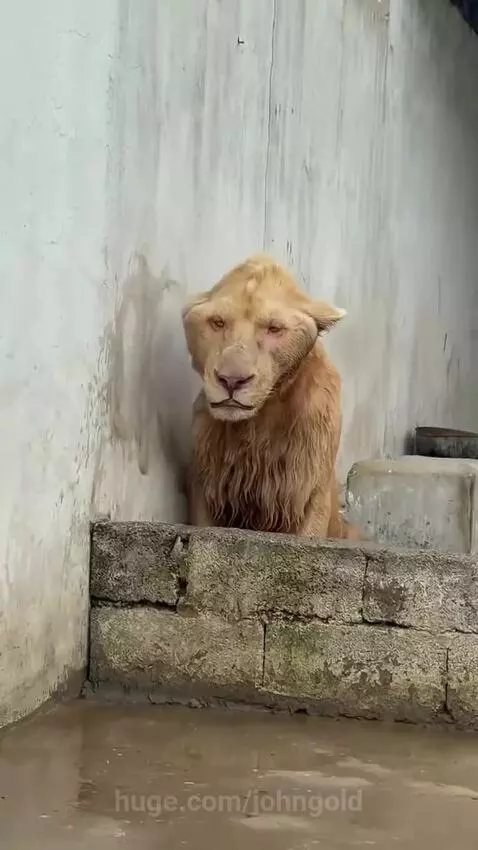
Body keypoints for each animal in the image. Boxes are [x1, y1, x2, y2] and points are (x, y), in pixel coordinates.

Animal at [181, 254, 356, 539]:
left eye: (274, 328)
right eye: (217, 322)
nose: (232, 380)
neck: (257, 422)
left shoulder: (309, 488)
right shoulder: (206, 485)